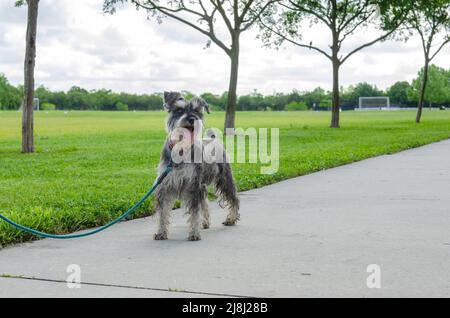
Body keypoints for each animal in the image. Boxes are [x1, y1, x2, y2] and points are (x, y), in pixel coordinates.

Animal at [154, 90, 241, 240]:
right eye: (179, 110)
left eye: (196, 110)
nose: (192, 119)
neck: (181, 149)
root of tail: (213, 139)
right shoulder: (165, 185)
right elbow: (162, 212)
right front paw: (161, 232)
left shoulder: (193, 184)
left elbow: (194, 211)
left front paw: (194, 233)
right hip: (204, 184)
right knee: (205, 202)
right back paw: (205, 222)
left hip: (224, 178)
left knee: (233, 198)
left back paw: (231, 219)